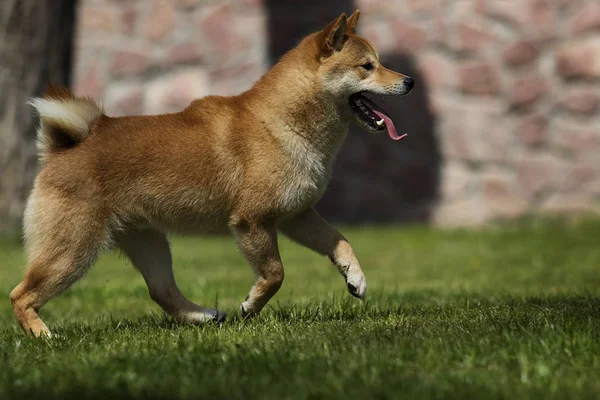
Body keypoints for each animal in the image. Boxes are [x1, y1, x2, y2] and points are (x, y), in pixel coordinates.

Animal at [10, 9, 412, 336]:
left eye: (379, 62)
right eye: (367, 66)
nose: (409, 81)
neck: (282, 122)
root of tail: (64, 148)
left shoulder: (296, 215)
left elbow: (341, 241)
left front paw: (355, 278)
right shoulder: (253, 221)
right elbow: (275, 274)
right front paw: (251, 306)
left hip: (148, 242)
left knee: (162, 290)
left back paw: (203, 316)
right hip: (72, 251)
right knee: (21, 295)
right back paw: (44, 336)